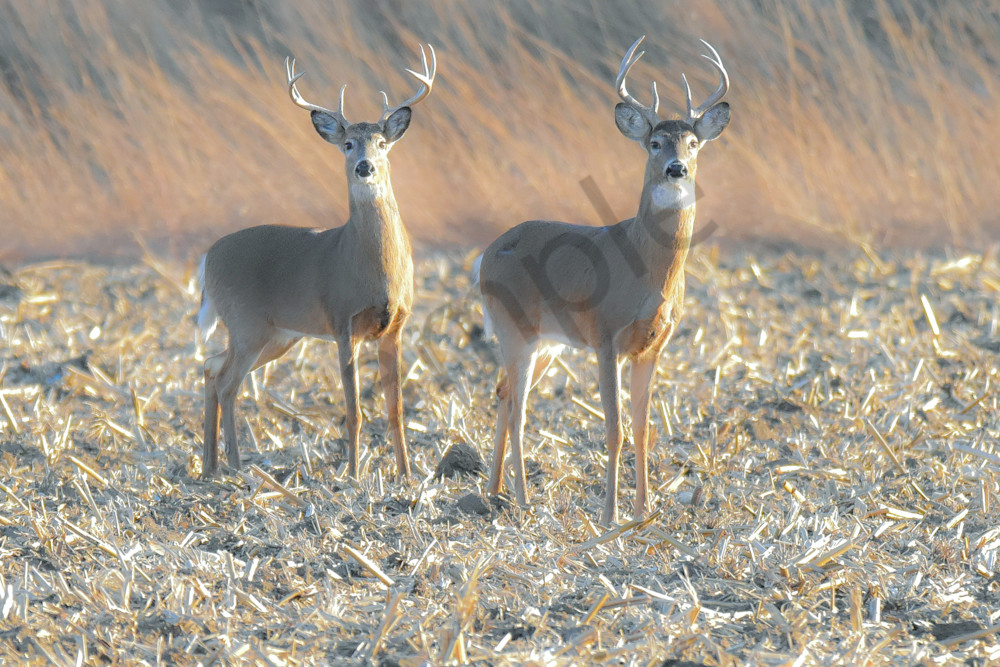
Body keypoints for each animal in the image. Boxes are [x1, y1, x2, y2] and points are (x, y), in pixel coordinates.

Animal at [197, 44, 436, 479]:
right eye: (348, 144)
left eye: (381, 142)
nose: (364, 167)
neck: (374, 270)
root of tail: (208, 258)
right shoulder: (343, 321)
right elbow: (354, 410)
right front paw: (354, 475)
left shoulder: (395, 326)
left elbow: (395, 410)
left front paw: (407, 475)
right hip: (245, 322)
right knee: (226, 382)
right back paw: (236, 467)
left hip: (277, 335)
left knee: (210, 366)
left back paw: (210, 468)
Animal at [476, 37, 730, 525]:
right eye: (654, 142)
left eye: (693, 143)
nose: (676, 169)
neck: (650, 273)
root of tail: (486, 254)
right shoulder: (606, 334)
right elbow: (614, 428)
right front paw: (610, 515)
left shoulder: (653, 346)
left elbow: (644, 429)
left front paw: (645, 509)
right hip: (514, 329)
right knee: (517, 409)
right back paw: (523, 498)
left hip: (546, 342)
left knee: (502, 392)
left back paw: (496, 492)